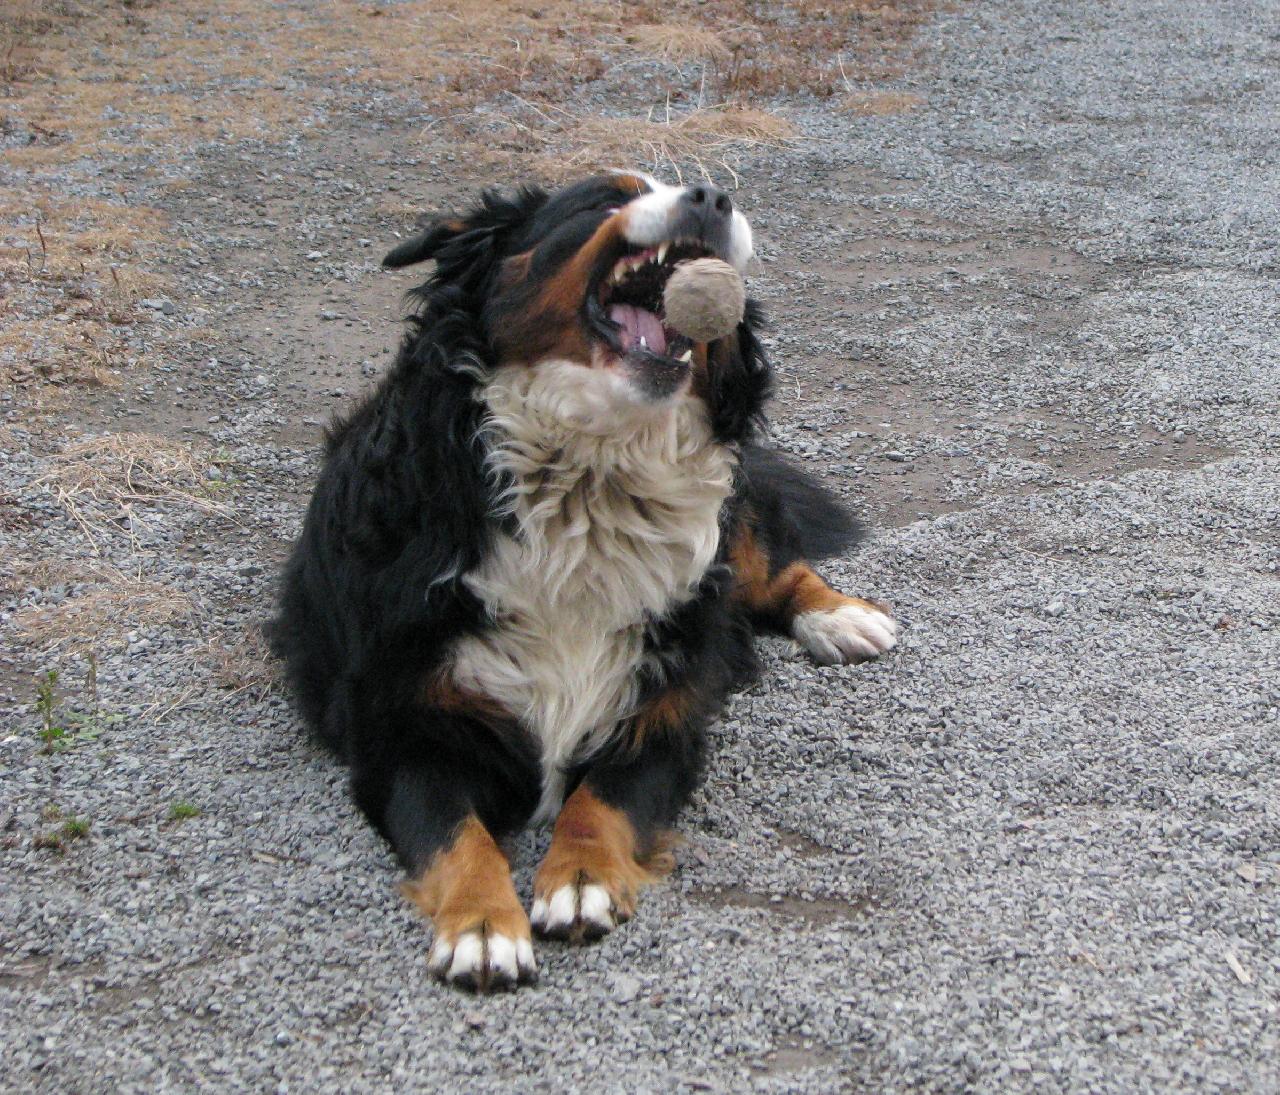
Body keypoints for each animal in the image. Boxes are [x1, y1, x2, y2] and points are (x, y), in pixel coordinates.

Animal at [272, 172, 897, 991]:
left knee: (776, 567)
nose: (712, 196)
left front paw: (579, 878)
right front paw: (482, 926)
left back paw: (842, 617)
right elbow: (457, 835)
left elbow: (602, 800)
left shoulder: (666, 708)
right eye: (602, 198)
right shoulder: (403, 729)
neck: (590, 482)